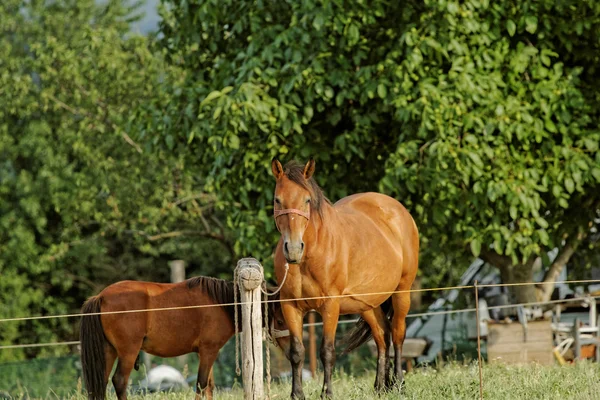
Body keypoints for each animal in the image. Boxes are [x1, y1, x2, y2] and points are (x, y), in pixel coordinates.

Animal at [79, 276, 290, 398]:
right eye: (280, 321)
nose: (290, 351)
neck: (221, 304)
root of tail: (100, 297)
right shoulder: (208, 351)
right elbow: (201, 385)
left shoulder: (205, 353)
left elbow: (209, 386)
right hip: (128, 353)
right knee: (120, 381)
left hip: (109, 351)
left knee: (101, 383)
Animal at [270, 158, 418, 398]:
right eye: (277, 199)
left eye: (307, 200)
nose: (293, 249)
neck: (310, 255)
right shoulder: (290, 305)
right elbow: (297, 352)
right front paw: (296, 394)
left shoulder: (331, 305)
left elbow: (327, 351)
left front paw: (327, 393)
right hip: (367, 303)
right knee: (382, 335)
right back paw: (380, 387)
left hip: (402, 291)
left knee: (397, 334)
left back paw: (398, 384)